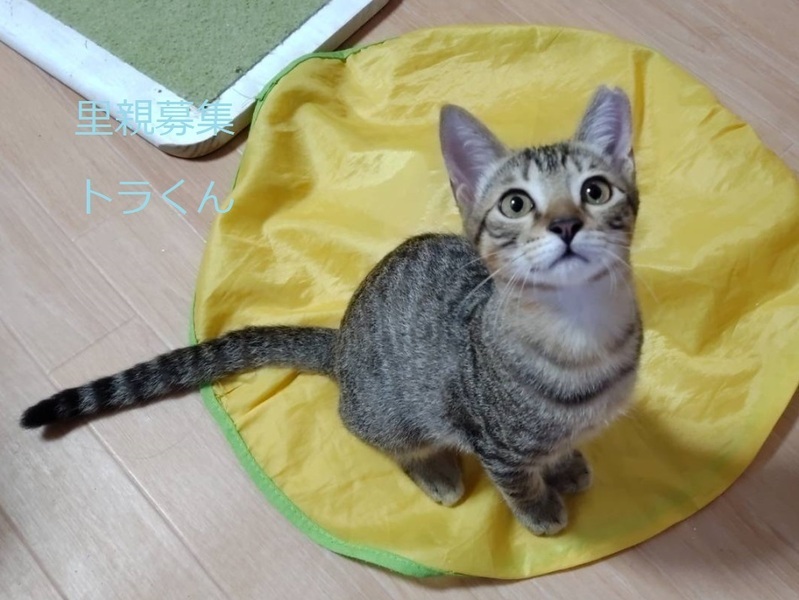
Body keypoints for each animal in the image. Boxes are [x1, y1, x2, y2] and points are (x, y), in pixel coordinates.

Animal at [21, 86, 642, 536]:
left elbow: (559, 446)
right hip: (393, 410)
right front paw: (542, 509)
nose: (566, 224)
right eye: (516, 204)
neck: (580, 331)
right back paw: (436, 470)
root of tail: (341, 345)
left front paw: (566, 464)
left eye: (595, 191)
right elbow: (519, 480)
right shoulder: (489, 435)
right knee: (380, 436)